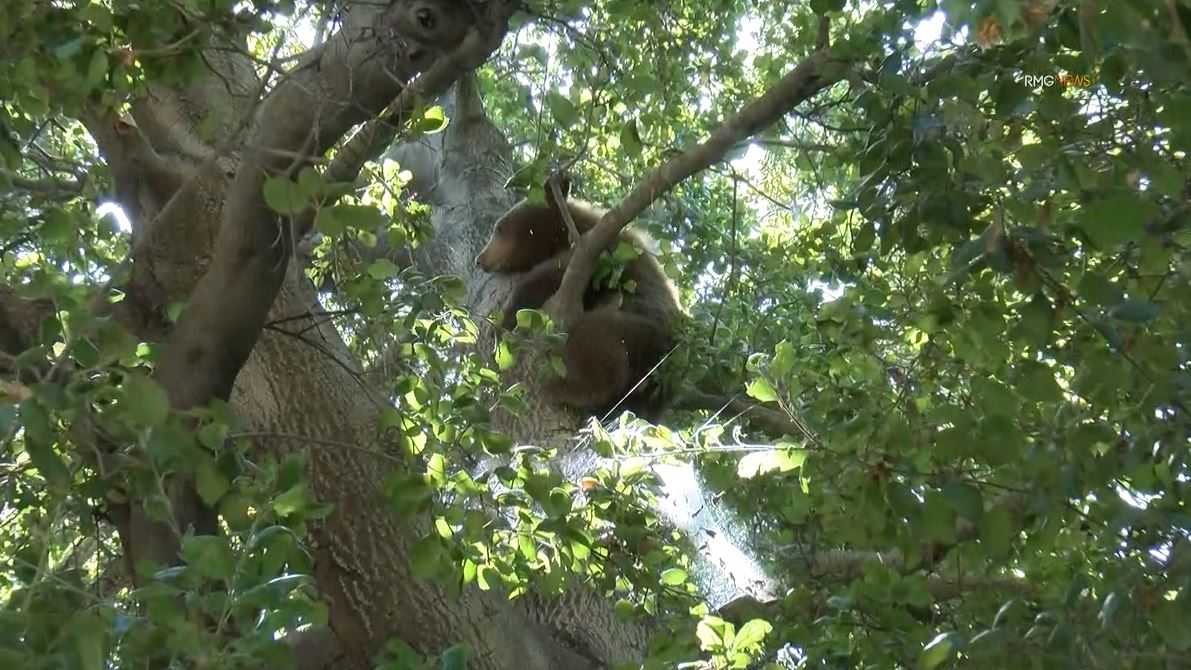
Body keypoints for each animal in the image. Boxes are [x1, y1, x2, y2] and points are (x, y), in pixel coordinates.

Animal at [471, 178, 681, 418]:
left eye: (499, 228)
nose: (479, 259)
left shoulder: (600, 253)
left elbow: (549, 276)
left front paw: (503, 322)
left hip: (639, 328)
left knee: (593, 342)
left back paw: (560, 387)